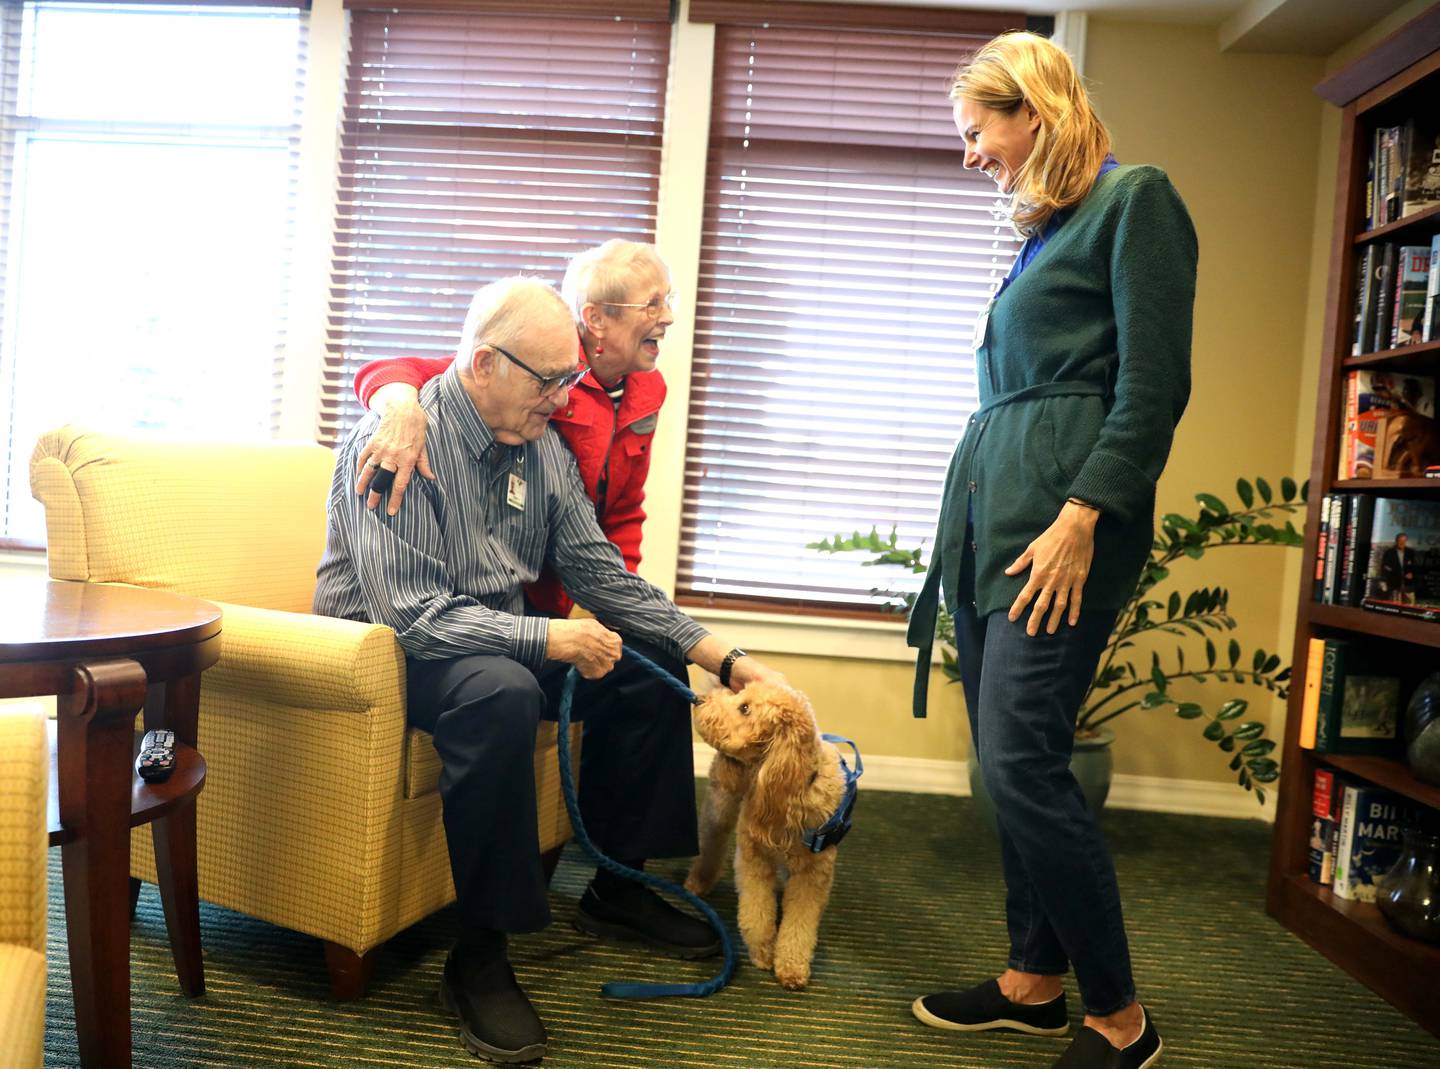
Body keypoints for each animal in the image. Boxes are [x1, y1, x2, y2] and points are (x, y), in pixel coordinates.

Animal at [682, 682, 840, 991]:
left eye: (745, 708)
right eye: (741, 696)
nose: (700, 700)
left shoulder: (813, 874)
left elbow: (800, 923)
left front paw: (792, 967)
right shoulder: (754, 857)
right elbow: (757, 913)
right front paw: (763, 953)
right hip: (721, 806)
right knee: (711, 845)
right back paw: (698, 882)